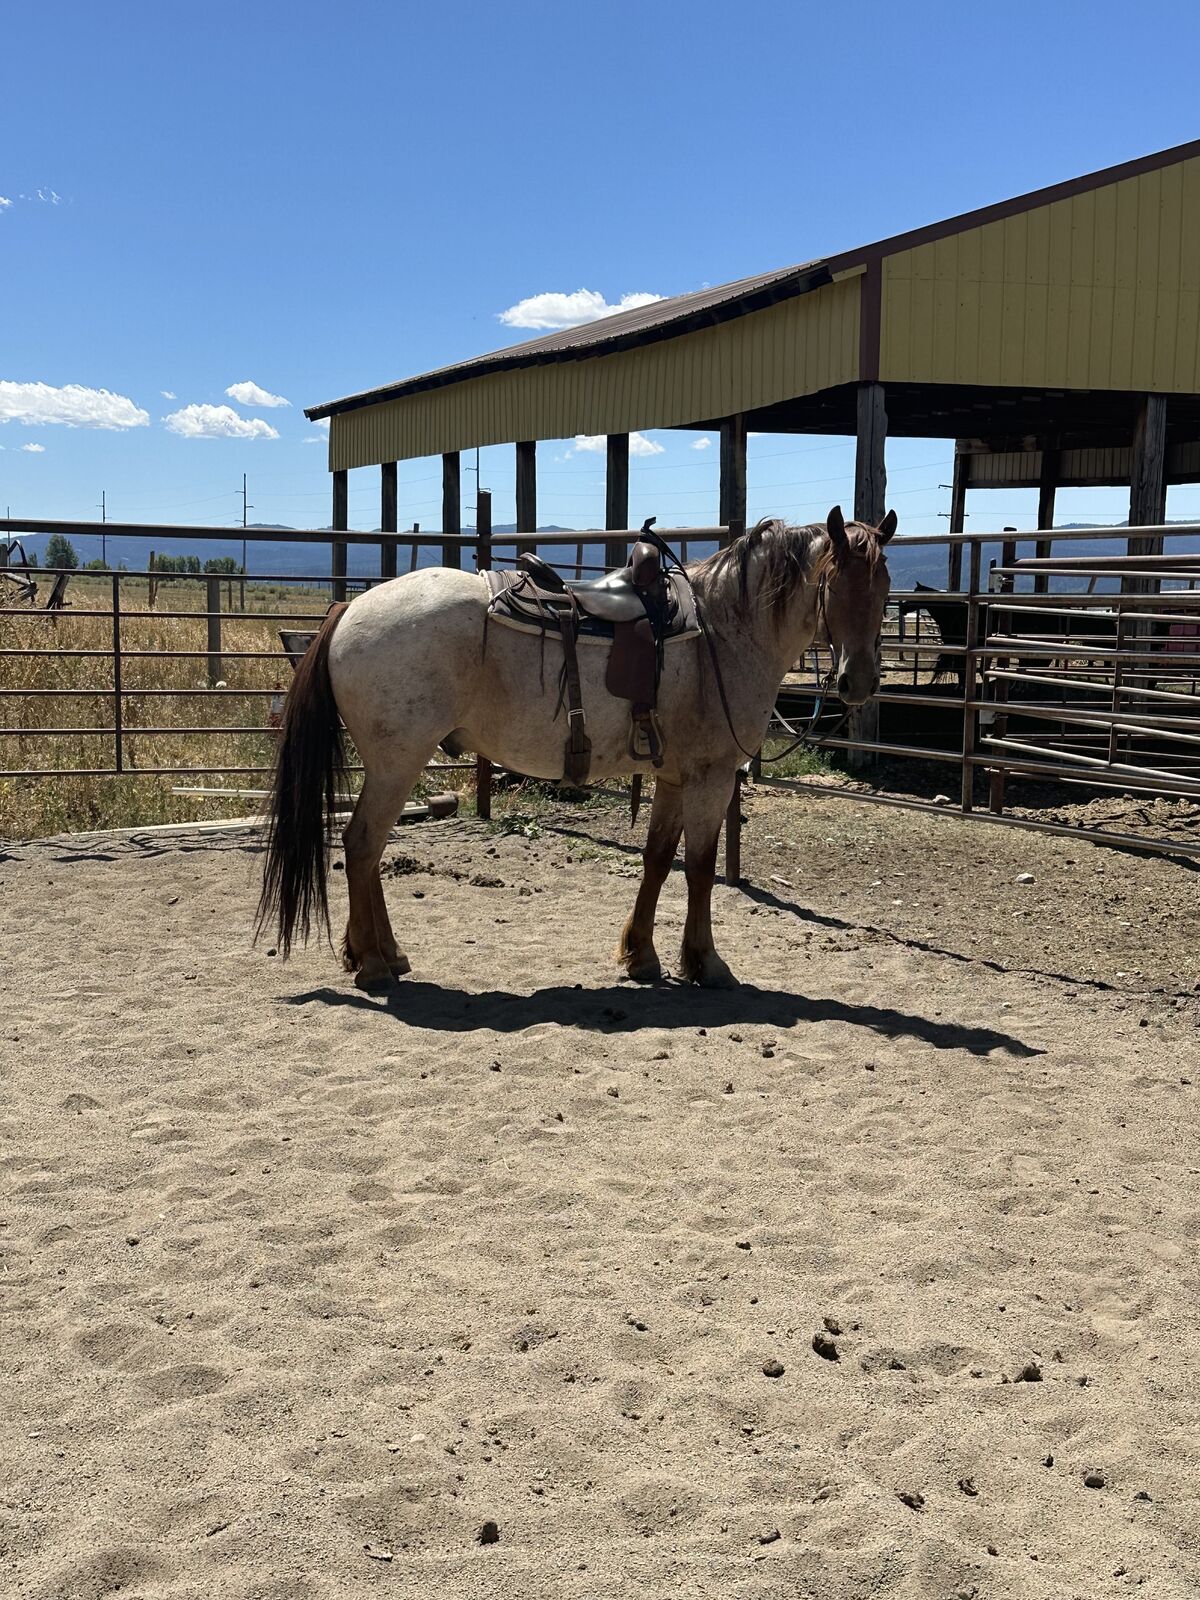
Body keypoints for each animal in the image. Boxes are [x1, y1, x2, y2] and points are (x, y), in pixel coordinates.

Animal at [257, 506, 895, 992]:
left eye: (885, 588)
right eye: (835, 584)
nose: (859, 682)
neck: (723, 631)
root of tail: (349, 611)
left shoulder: (673, 776)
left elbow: (658, 859)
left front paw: (641, 956)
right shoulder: (711, 777)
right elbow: (701, 869)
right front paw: (706, 963)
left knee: (366, 850)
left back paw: (381, 953)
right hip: (398, 763)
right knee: (363, 844)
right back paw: (373, 963)